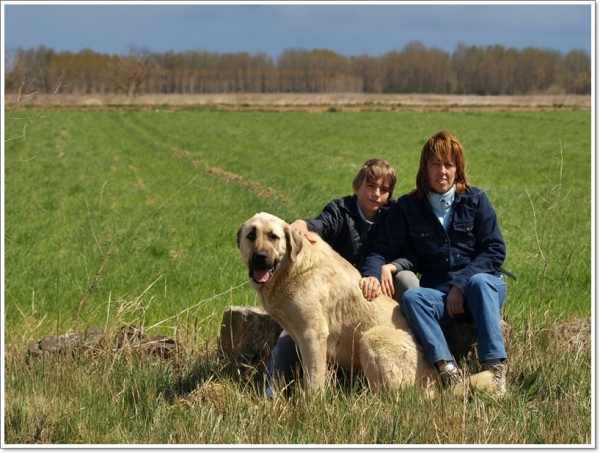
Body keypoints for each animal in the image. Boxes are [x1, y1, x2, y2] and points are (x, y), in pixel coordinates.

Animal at [237, 212, 494, 392]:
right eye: (251, 236)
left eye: (273, 237)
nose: (260, 257)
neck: (292, 267)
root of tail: (437, 385)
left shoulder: (313, 334)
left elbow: (314, 378)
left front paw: (311, 405)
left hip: (370, 337)